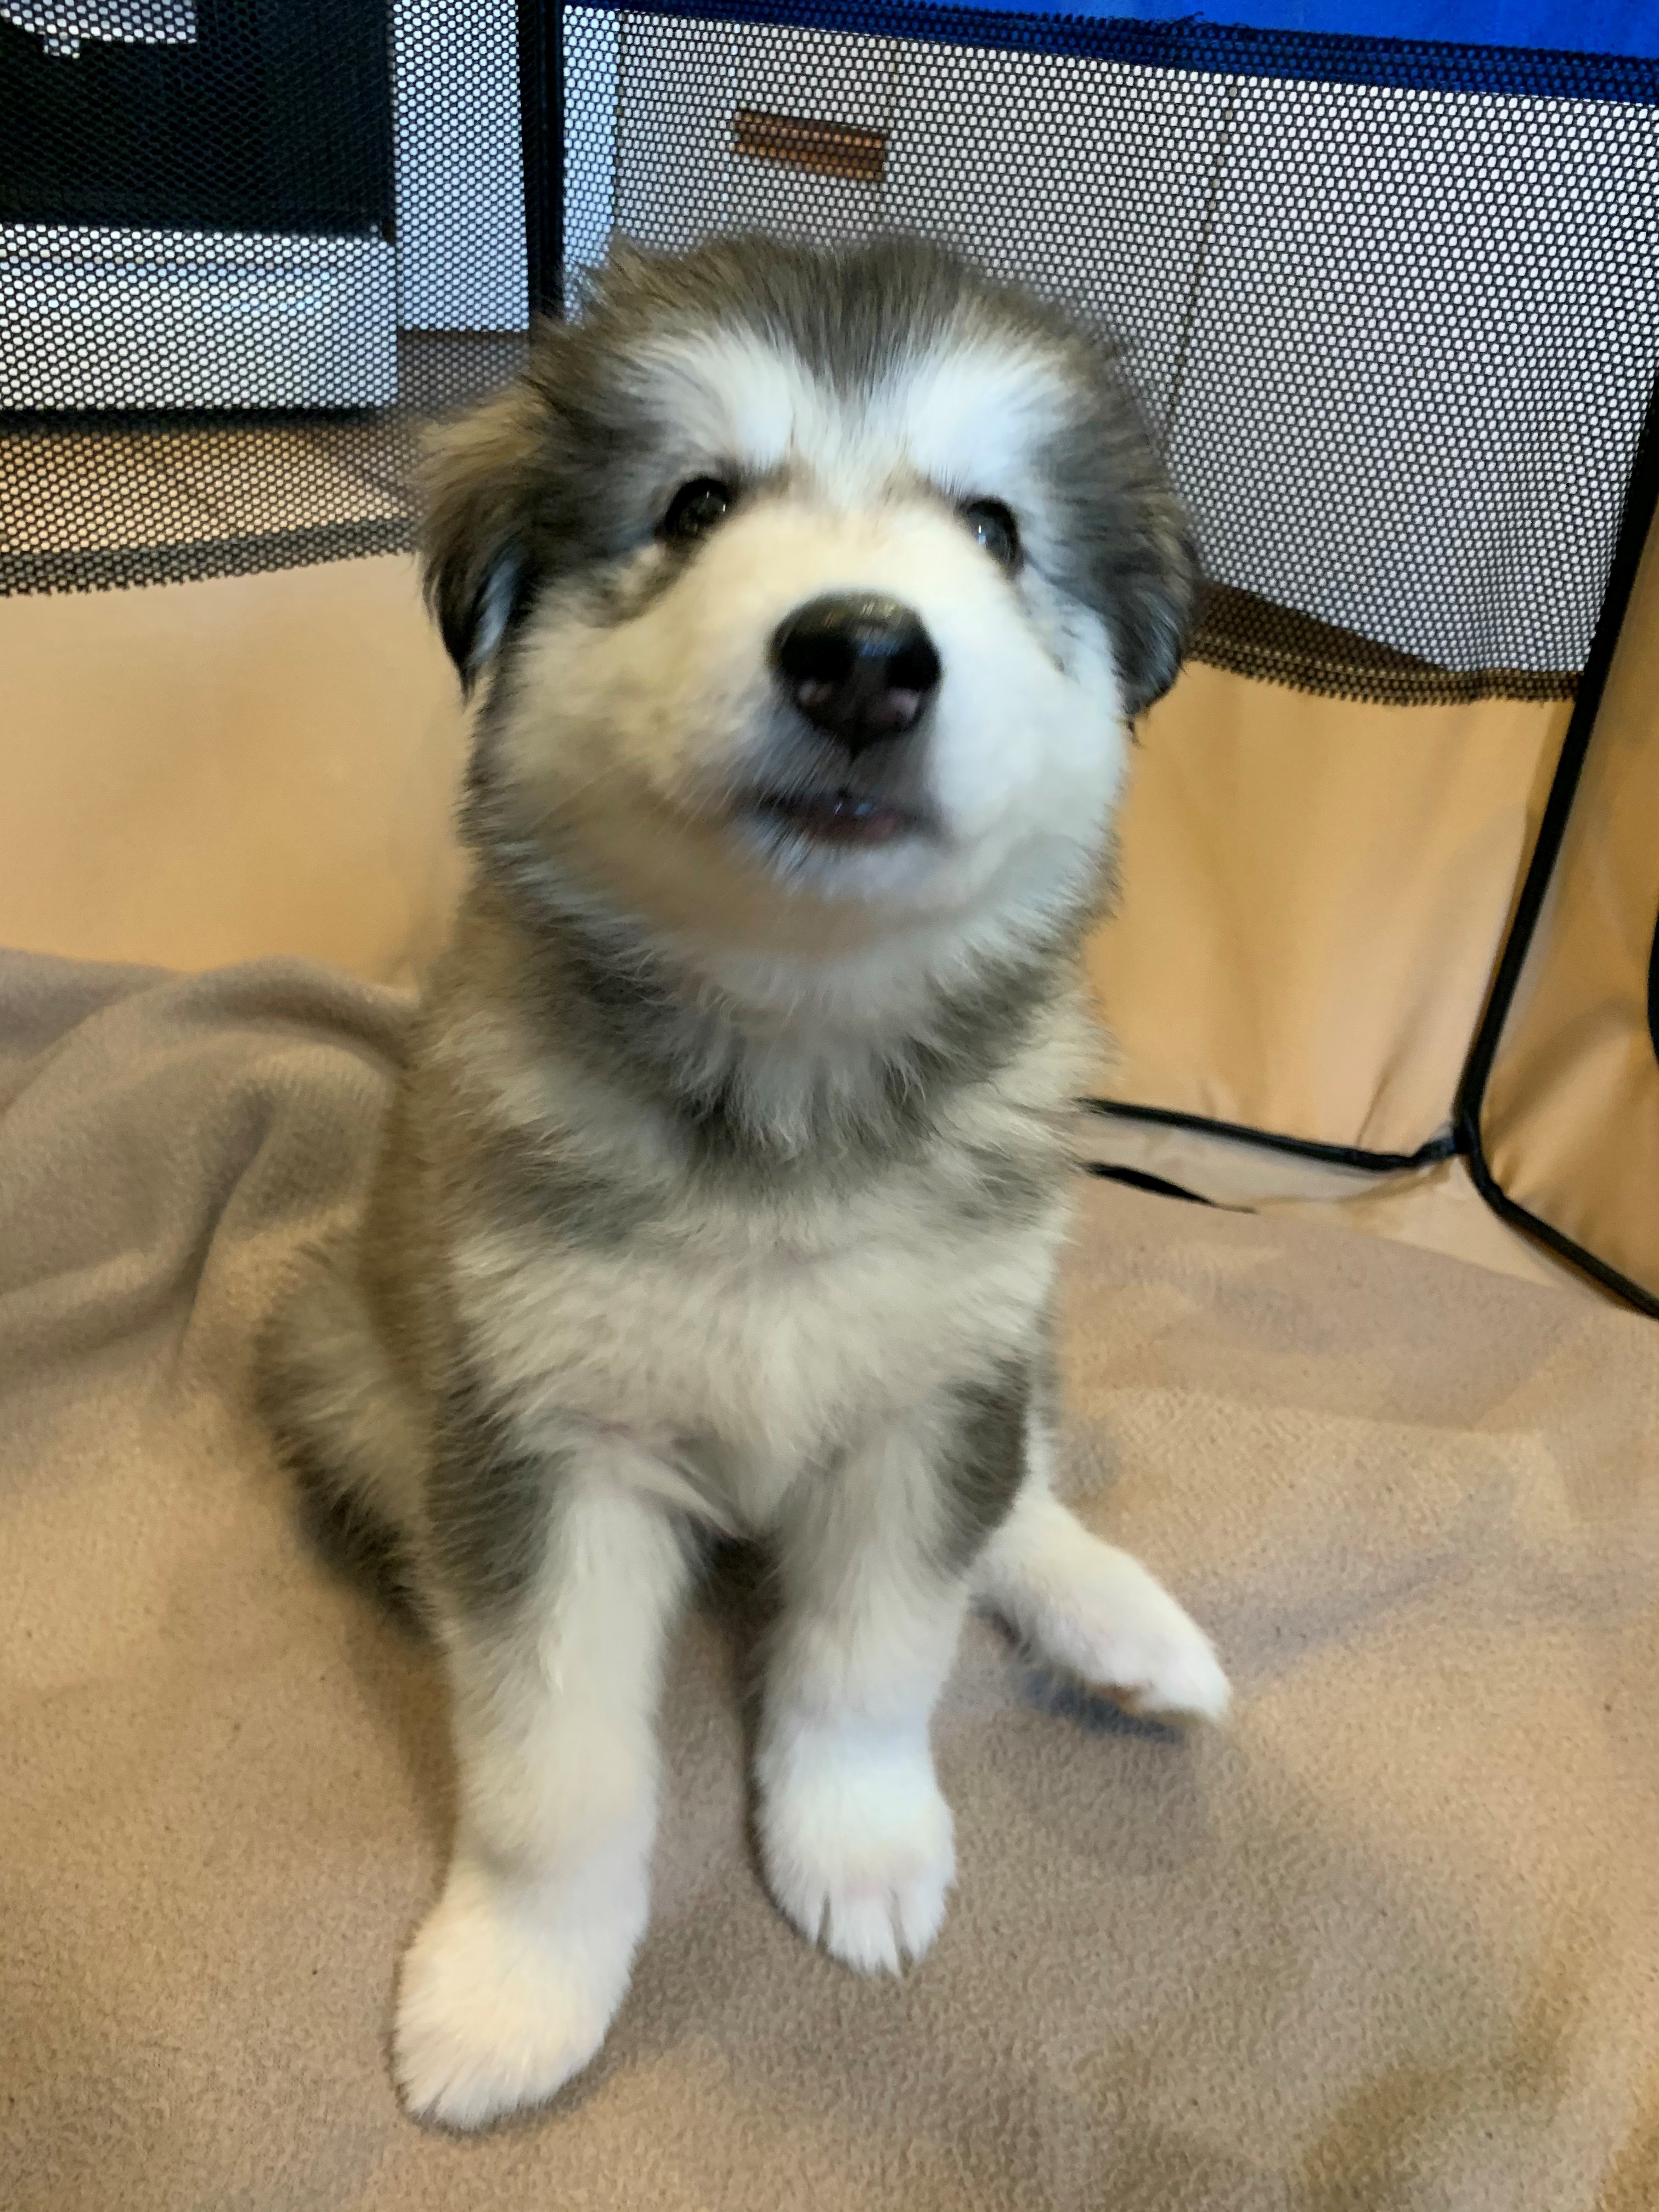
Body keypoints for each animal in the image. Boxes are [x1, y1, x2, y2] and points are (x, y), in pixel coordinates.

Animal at [262, 233, 1228, 2132]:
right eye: (697, 502)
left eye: (995, 527)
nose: (861, 653)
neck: (795, 1058)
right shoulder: (543, 1440)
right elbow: (555, 1766)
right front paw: (515, 1990)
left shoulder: (930, 1397)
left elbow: (879, 1654)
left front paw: (860, 1849)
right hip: (342, 1354)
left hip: (1010, 1334)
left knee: (1023, 1486)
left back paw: (1124, 1625)